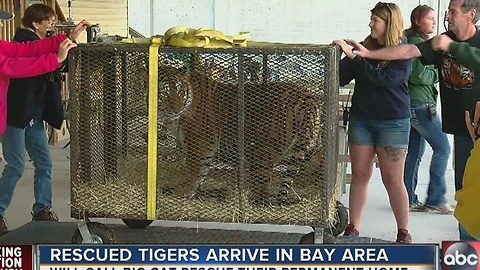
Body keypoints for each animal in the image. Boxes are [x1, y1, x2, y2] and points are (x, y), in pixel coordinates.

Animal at [158, 63, 322, 207]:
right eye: (165, 93)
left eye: (179, 91)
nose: (177, 110)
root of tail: (307, 97)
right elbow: (201, 172)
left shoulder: (198, 142)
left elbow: (195, 170)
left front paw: (181, 194)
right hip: (309, 146)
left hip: (261, 152)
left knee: (262, 190)